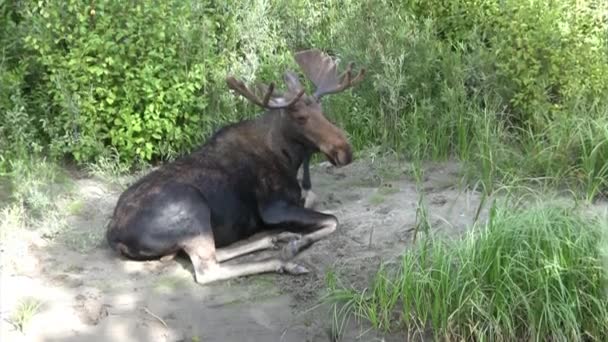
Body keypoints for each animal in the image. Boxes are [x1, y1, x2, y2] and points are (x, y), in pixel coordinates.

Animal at [104, 47, 366, 284]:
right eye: (301, 118)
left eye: (322, 110)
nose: (345, 150)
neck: (290, 159)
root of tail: (114, 234)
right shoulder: (274, 207)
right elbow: (333, 219)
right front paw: (297, 244)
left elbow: (314, 199)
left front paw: (292, 237)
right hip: (192, 209)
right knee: (207, 270)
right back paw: (283, 261)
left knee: (214, 254)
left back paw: (276, 239)